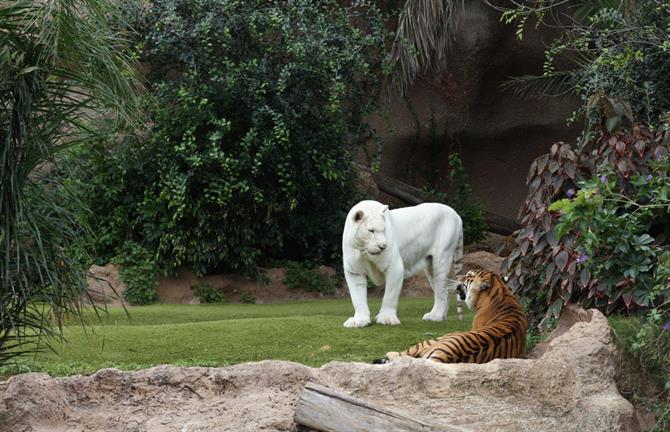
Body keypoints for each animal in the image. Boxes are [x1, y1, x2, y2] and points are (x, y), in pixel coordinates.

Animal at [344, 199, 464, 328]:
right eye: (371, 230)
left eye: (384, 230)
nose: (383, 246)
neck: (363, 250)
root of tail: (456, 215)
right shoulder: (354, 272)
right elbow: (358, 298)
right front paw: (359, 320)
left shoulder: (394, 267)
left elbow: (390, 295)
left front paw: (387, 319)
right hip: (431, 267)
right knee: (443, 291)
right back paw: (440, 316)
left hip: (442, 259)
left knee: (441, 291)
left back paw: (436, 316)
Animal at [380, 272, 528, 362]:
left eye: (469, 275)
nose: (459, 277)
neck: (501, 292)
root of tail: (444, 356)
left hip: (435, 340)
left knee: (403, 354)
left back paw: (390, 353)